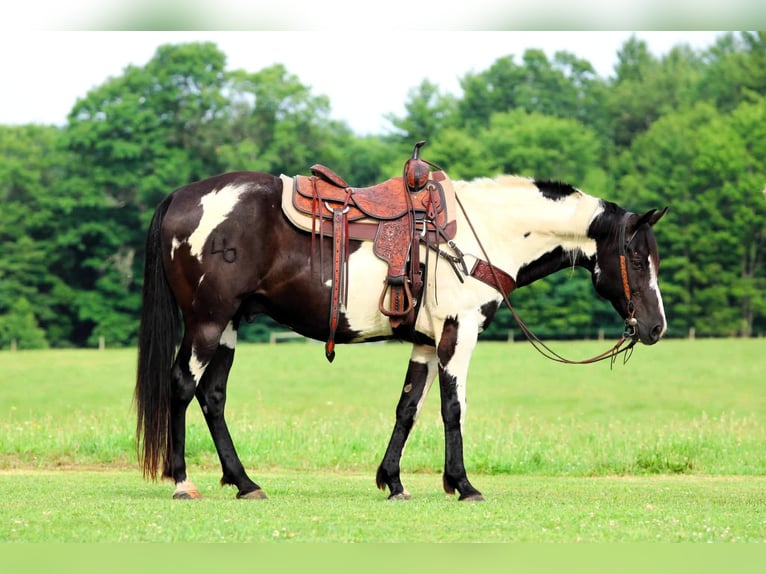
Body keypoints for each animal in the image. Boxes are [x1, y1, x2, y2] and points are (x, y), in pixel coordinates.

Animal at [134, 163, 668, 501]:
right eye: (637, 258)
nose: (656, 326)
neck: (481, 235)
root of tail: (182, 196)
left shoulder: (427, 343)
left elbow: (407, 409)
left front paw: (393, 482)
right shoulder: (458, 332)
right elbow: (453, 408)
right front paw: (462, 485)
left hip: (228, 325)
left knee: (213, 397)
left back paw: (244, 482)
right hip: (207, 321)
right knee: (182, 386)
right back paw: (182, 482)